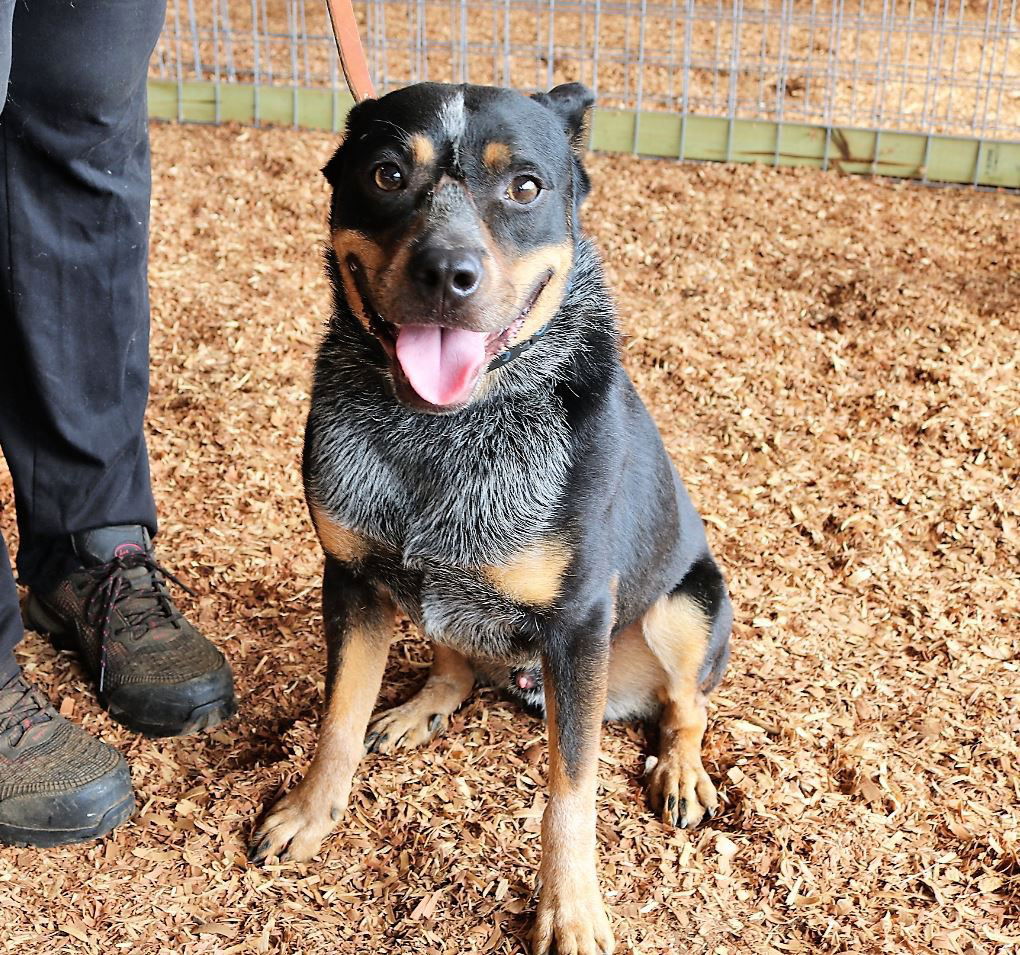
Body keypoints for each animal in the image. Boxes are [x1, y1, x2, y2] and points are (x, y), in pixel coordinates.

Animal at [249, 80, 730, 955]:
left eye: (526, 187)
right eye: (386, 172)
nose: (447, 272)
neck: (441, 431)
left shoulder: (578, 623)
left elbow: (570, 788)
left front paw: (570, 907)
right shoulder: (352, 579)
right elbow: (338, 717)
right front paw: (309, 811)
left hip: (687, 606)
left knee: (688, 704)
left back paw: (681, 770)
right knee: (455, 658)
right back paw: (425, 704)